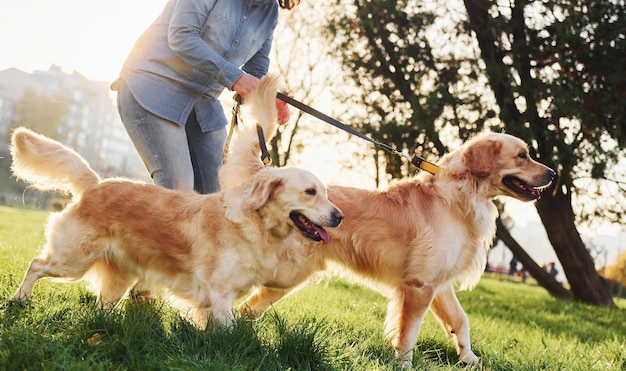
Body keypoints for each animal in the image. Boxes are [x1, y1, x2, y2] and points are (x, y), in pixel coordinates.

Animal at [8, 75, 342, 328]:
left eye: (326, 193)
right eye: (310, 192)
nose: (339, 216)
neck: (254, 225)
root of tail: (96, 184)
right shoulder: (219, 294)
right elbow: (232, 332)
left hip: (118, 275)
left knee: (102, 305)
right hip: (73, 258)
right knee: (36, 265)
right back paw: (19, 300)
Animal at [222, 130, 552, 366]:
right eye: (522, 155)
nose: (553, 174)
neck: (460, 195)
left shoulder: (438, 284)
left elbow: (461, 320)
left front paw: (469, 358)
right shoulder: (419, 286)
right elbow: (409, 334)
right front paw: (404, 364)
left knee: (248, 309)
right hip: (287, 274)